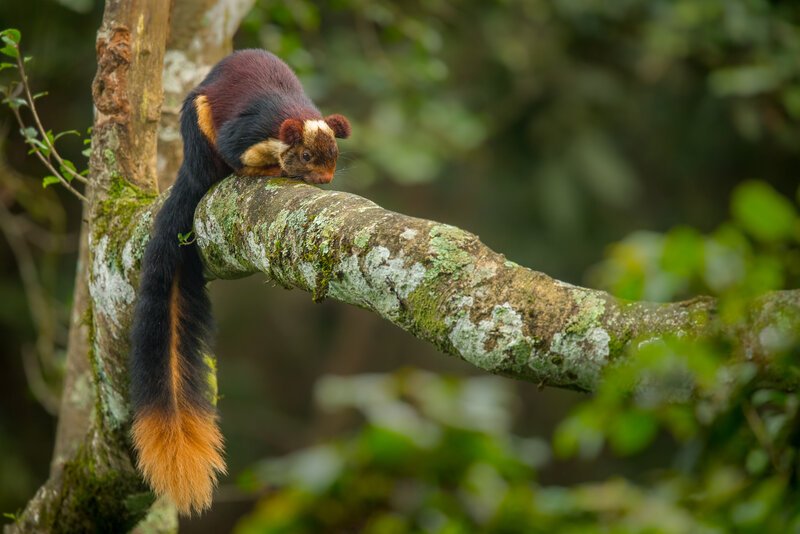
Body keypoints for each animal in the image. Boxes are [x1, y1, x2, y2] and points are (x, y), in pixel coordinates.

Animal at [129, 49, 351, 515]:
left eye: (334, 157)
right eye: (307, 156)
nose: (325, 181)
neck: (289, 118)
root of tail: (190, 170)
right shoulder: (245, 132)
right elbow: (239, 152)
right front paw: (269, 167)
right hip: (198, 128)